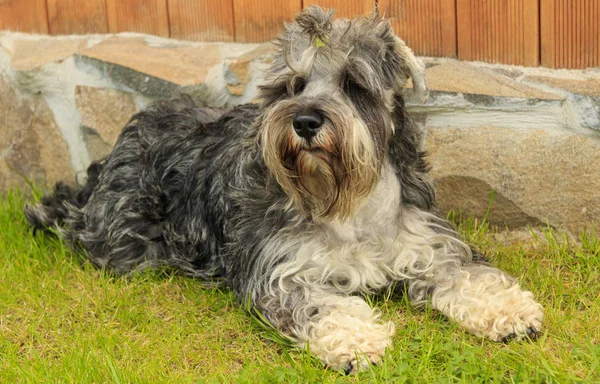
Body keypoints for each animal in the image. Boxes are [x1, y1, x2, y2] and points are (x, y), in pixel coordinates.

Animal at [24, 6, 544, 376]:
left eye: (354, 83)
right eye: (293, 85)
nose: (306, 121)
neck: (350, 207)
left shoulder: (432, 247)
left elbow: (471, 276)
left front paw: (510, 310)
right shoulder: (283, 273)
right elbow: (324, 304)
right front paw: (356, 340)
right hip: (120, 240)